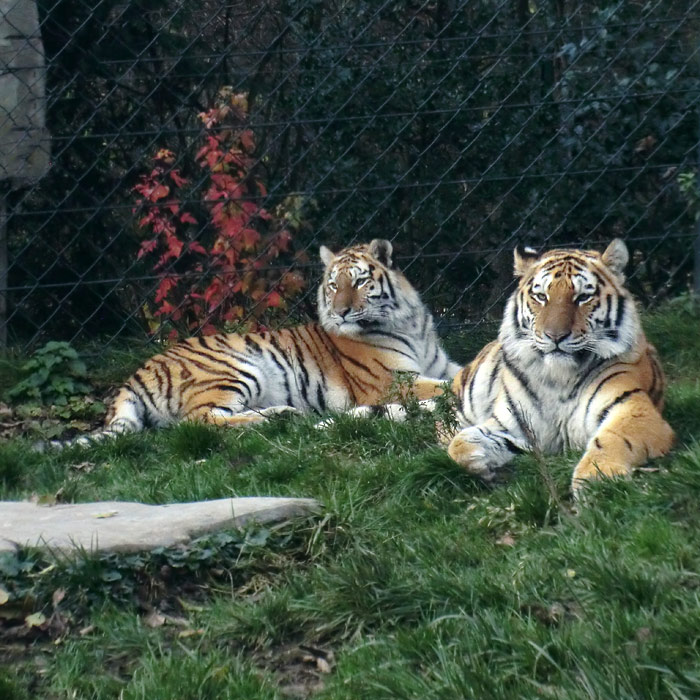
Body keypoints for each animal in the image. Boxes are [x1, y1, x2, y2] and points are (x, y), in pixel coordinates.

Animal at [52, 239, 462, 448]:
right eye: (334, 285)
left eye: (360, 282)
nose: (342, 312)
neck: (408, 321)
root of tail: (134, 376)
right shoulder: (390, 381)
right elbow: (443, 386)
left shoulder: (439, 364)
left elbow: (460, 371)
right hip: (234, 369)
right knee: (201, 422)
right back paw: (279, 419)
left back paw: (282, 413)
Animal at [446, 238, 676, 494]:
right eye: (541, 296)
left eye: (583, 297)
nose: (555, 336)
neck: (558, 377)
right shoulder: (511, 425)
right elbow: (459, 445)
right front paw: (488, 468)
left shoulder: (634, 411)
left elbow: (612, 440)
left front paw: (596, 480)